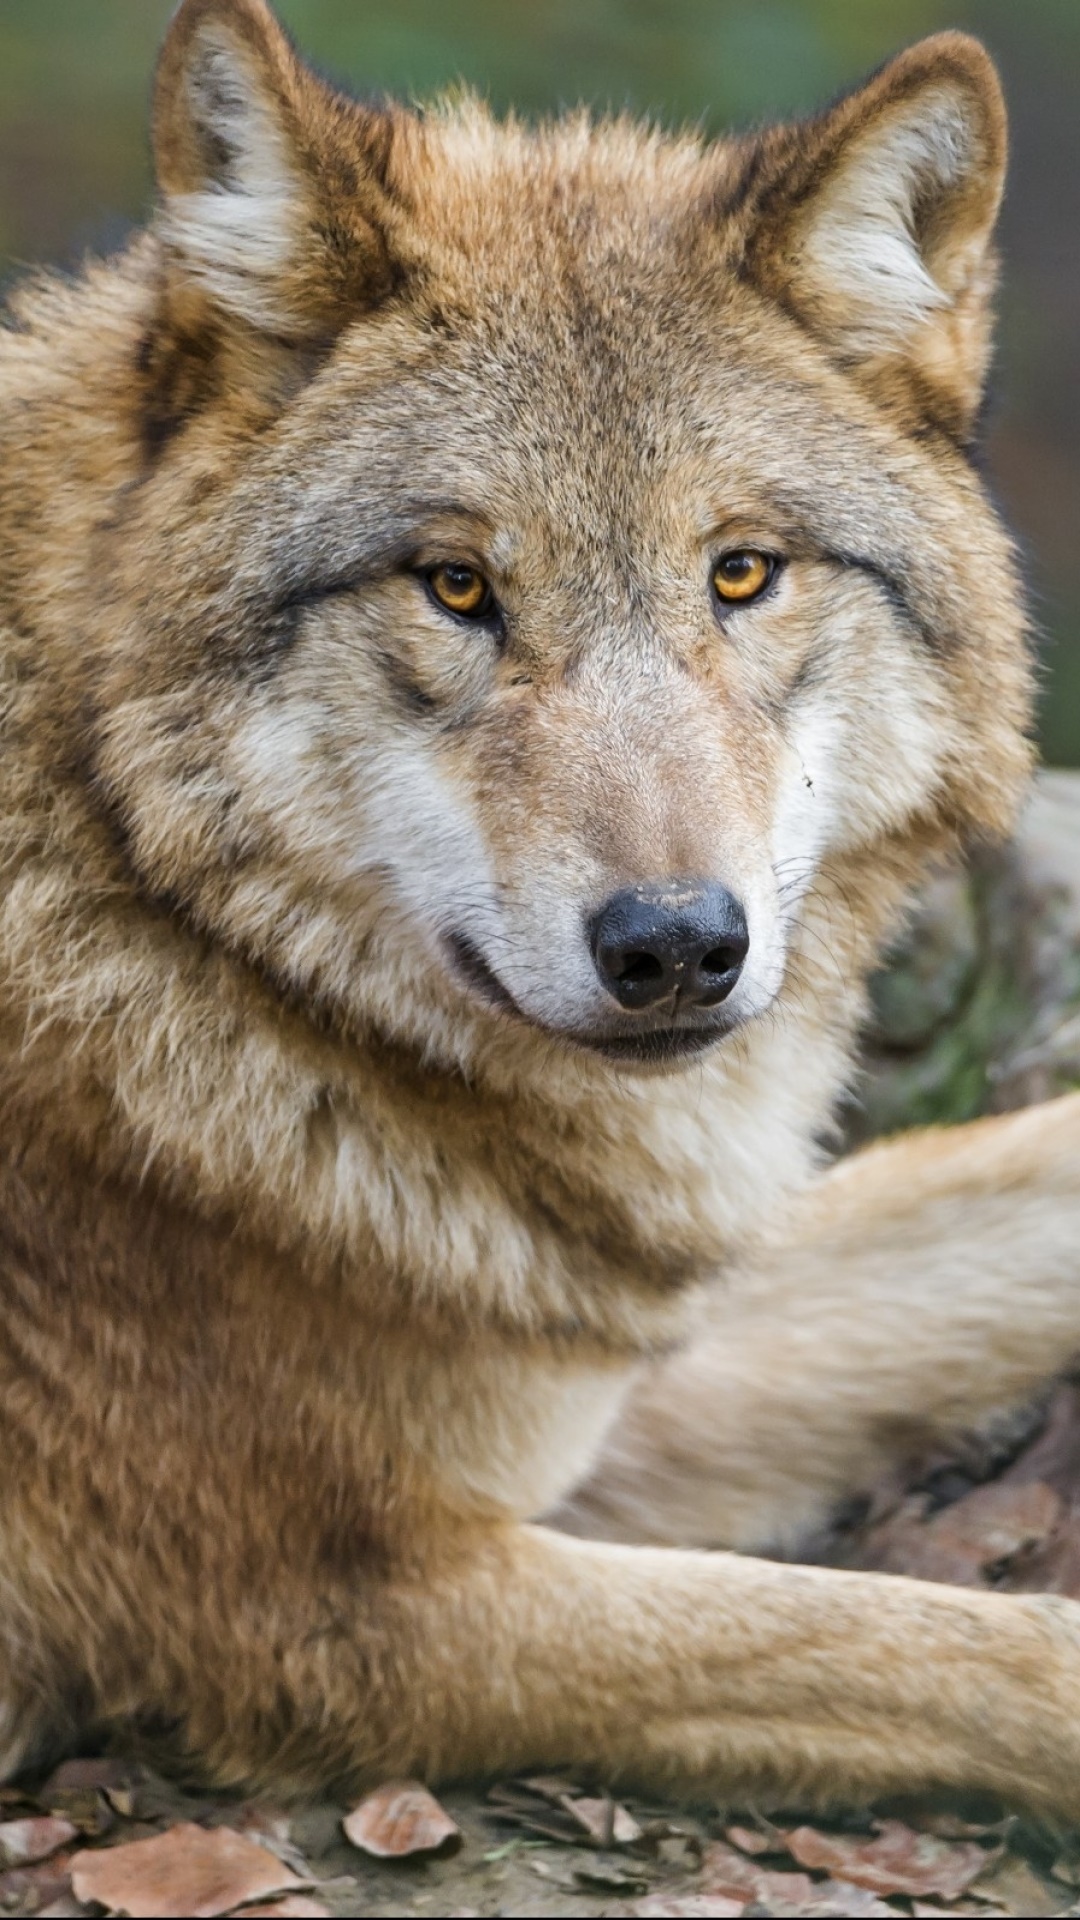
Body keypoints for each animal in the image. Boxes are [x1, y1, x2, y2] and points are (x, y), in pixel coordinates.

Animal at [2, 0, 1080, 1816]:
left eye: (741, 572)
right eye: (458, 586)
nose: (676, 947)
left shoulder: (596, 1368)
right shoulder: (358, 1607)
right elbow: (935, 1643)